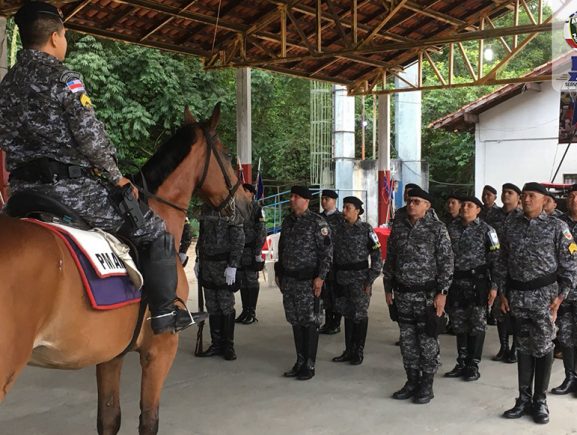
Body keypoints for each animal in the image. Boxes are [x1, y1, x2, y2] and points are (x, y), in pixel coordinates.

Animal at [0, 104, 250, 434]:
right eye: (224, 152)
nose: (247, 203)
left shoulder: (110, 352)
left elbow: (109, 418)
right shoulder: (160, 350)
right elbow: (149, 420)